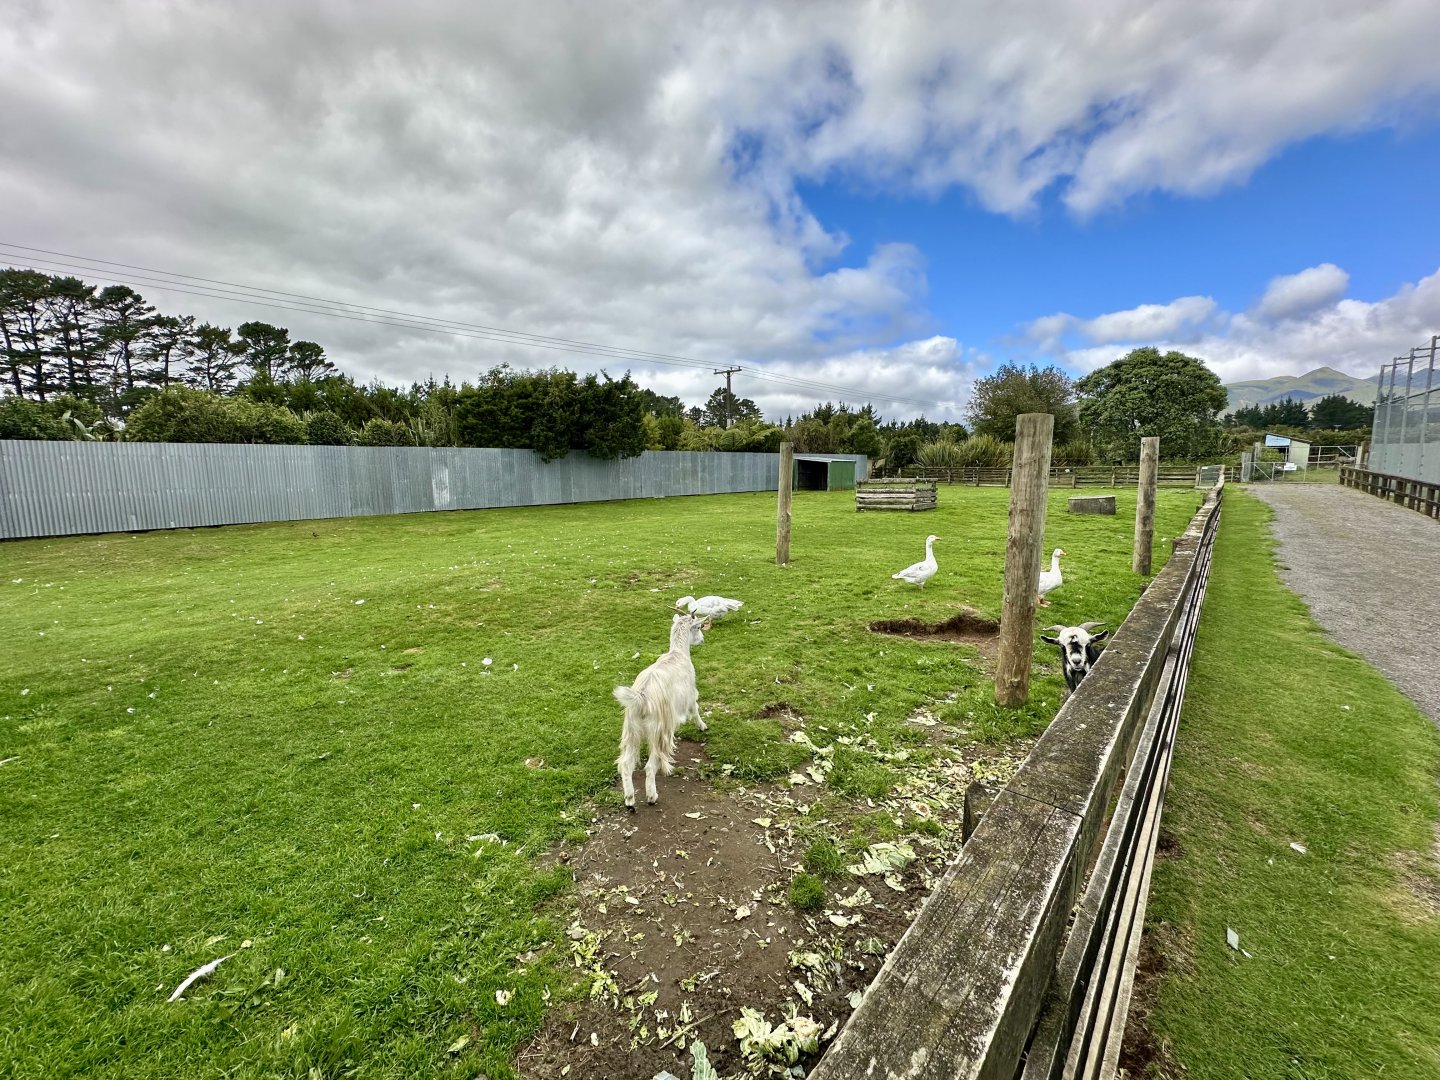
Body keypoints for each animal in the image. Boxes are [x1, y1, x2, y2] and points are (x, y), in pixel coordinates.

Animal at [613, 613, 708, 811]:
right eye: (698, 627)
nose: (702, 640)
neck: (677, 654)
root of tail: (641, 699)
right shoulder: (690, 693)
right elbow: (695, 708)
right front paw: (702, 726)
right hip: (659, 729)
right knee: (650, 766)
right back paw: (652, 796)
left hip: (631, 730)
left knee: (626, 764)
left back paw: (629, 800)